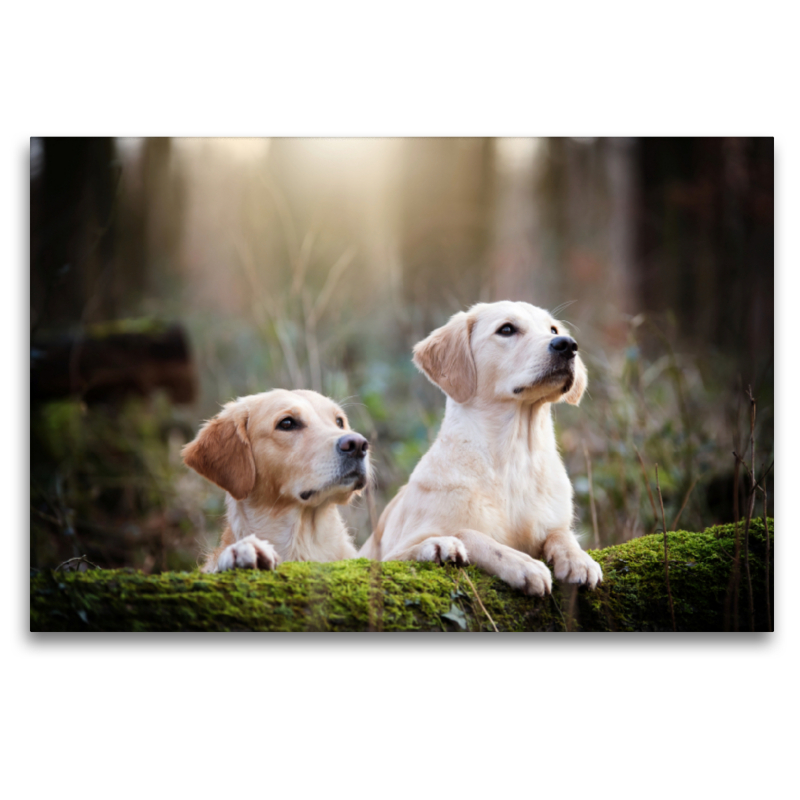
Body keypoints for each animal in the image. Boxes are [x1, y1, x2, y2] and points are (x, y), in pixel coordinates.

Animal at [360, 300, 604, 592]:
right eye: (506, 329)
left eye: (553, 329)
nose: (567, 345)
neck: (515, 459)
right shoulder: (390, 555)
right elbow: (471, 534)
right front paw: (523, 564)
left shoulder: (553, 523)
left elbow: (561, 534)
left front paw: (578, 559)